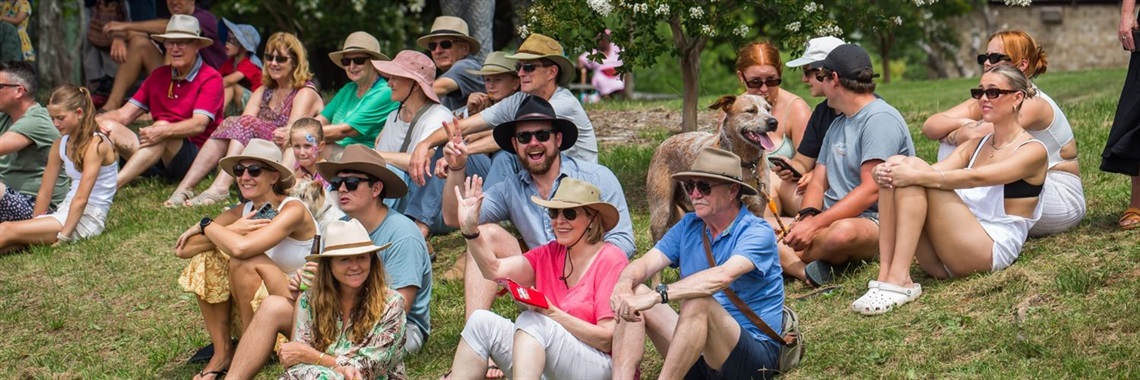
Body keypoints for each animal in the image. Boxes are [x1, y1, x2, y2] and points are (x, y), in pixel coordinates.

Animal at [647, 93, 779, 239]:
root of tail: (663, 143)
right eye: (750, 111)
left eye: (768, 109)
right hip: (661, 212)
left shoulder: (757, 209)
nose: (774, 122)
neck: (744, 162)